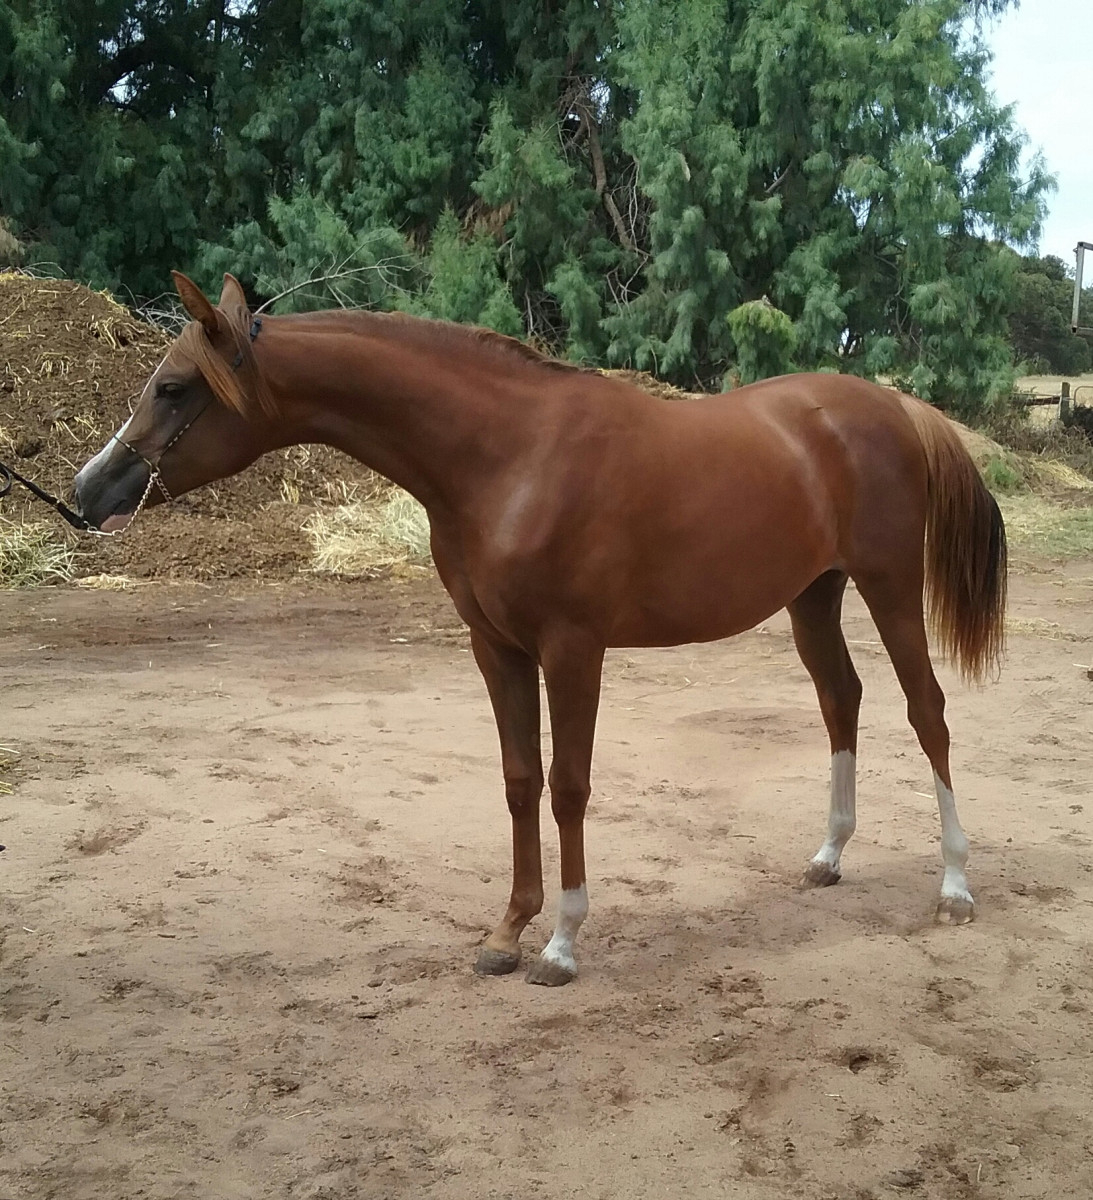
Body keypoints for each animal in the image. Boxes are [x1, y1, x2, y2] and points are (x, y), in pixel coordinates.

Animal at [73, 272, 1006, 986]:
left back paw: (954, 889)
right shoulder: (496, 648)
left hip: (889, 588)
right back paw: (828, 857)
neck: (509, 456)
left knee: (927, 712)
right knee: (841, 701)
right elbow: (520, 779)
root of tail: (894, 406)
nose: (90, 489)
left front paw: (560, 943)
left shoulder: (571, 648)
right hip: (812, 596)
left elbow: (568, 785)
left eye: (173, 387)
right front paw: (505, 934)